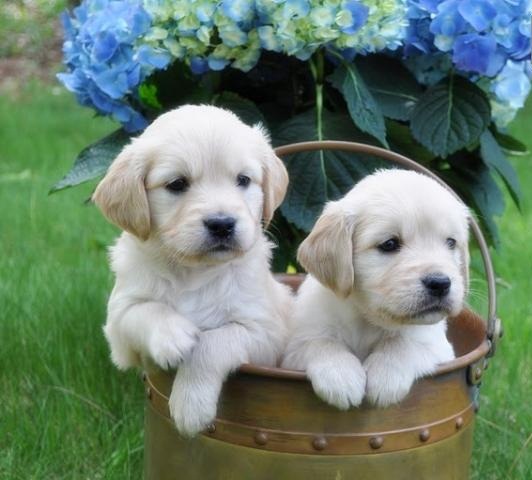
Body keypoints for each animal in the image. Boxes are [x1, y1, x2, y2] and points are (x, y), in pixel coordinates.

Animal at [92, 105, 292, 436]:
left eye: (243, 180)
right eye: (177, 184)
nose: (222, 224)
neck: (194, 272)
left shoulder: (266, 333)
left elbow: (213, 342)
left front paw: (190, 407)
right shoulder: (118, 325)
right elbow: (145, 310)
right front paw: (173, 335)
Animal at [282, 169, 469, 409]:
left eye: (451, 242)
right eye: (389, 244)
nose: (440, 283)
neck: (367, 320)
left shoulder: (438, 347)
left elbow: (403, 342)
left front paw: (386, 376)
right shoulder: (295, 347)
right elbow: (320, 342)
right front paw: (340, 376)